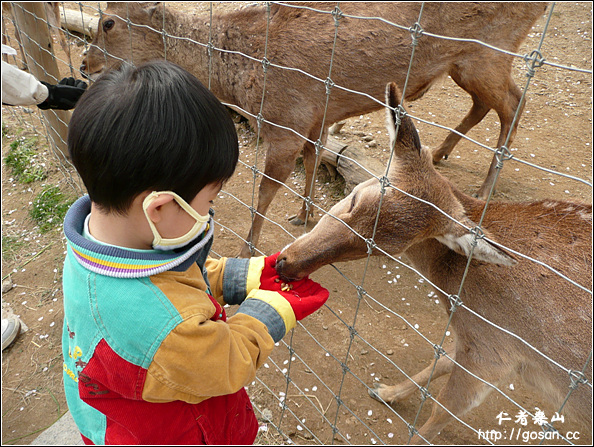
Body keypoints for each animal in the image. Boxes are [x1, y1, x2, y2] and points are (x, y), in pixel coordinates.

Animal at [80, 1, 544, 258]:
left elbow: (266, 190)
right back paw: (442, 152)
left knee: (515, 101)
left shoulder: (285, 121)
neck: (239, 79)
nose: (85, 64)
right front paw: (305, 213)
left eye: (108, 22)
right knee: (488, 103)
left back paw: (485, 187)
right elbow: (313, 157)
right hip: (467, 64)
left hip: (489, 51)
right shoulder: (316, 116)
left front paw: (249, 246)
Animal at [276, 83, 588, 444]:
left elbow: (442, 411)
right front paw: (384, 392)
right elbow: (440, 361)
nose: (287, 264)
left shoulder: (496, 350)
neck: (460, 292)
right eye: (354, 198)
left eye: (383, 249)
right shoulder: (478, 338)